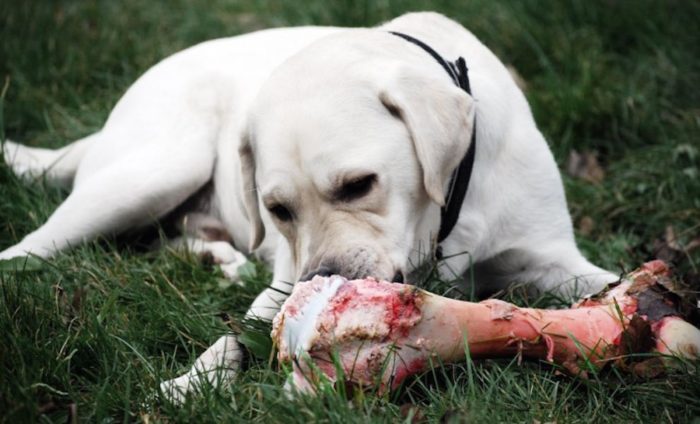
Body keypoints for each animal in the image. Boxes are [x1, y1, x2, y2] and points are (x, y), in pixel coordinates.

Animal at [0, 11, 616, 400]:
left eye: (359, 184)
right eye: (278, 210)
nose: (321, 280)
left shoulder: (552, 257)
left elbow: (603, 284)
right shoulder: (280, 283)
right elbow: (237, 332)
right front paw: (193, 381)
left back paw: (218, 258)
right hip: (152, 171)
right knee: (32, 248)